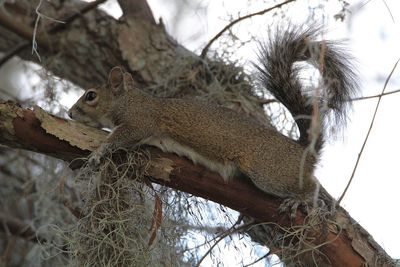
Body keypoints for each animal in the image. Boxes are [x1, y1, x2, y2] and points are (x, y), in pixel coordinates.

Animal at [67, 26, 358, 203]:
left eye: (90, 96)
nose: (69, 113)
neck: (130, 101)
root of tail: (303, 150)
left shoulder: (141, 121)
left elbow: (119, 138)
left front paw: (98, 153)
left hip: (268, 171)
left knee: (310, 185)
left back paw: (304, 201)